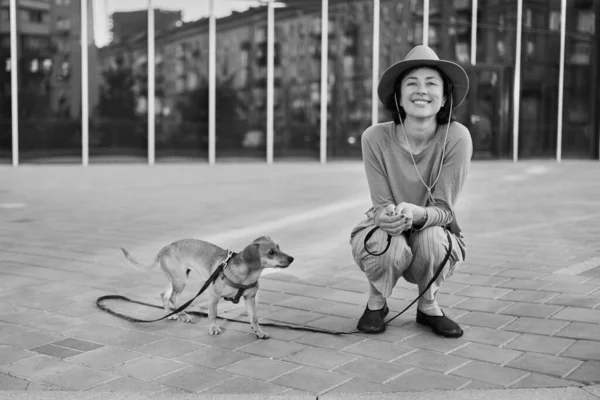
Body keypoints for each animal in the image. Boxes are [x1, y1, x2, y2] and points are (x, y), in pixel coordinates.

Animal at [119, 236, 292, 340]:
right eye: (271, 252)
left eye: (279, 247)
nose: (292, 258)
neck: (247, 274)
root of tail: (164, 249)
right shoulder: (214, 296)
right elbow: (213, 314)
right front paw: (213, 328)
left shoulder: (249, 298)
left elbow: (254, 318)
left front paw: (259, 332)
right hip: (180, 281)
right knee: (173, 297)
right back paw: (183, 315)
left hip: (176, 278)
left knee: (164, 294)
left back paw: (170, 314)